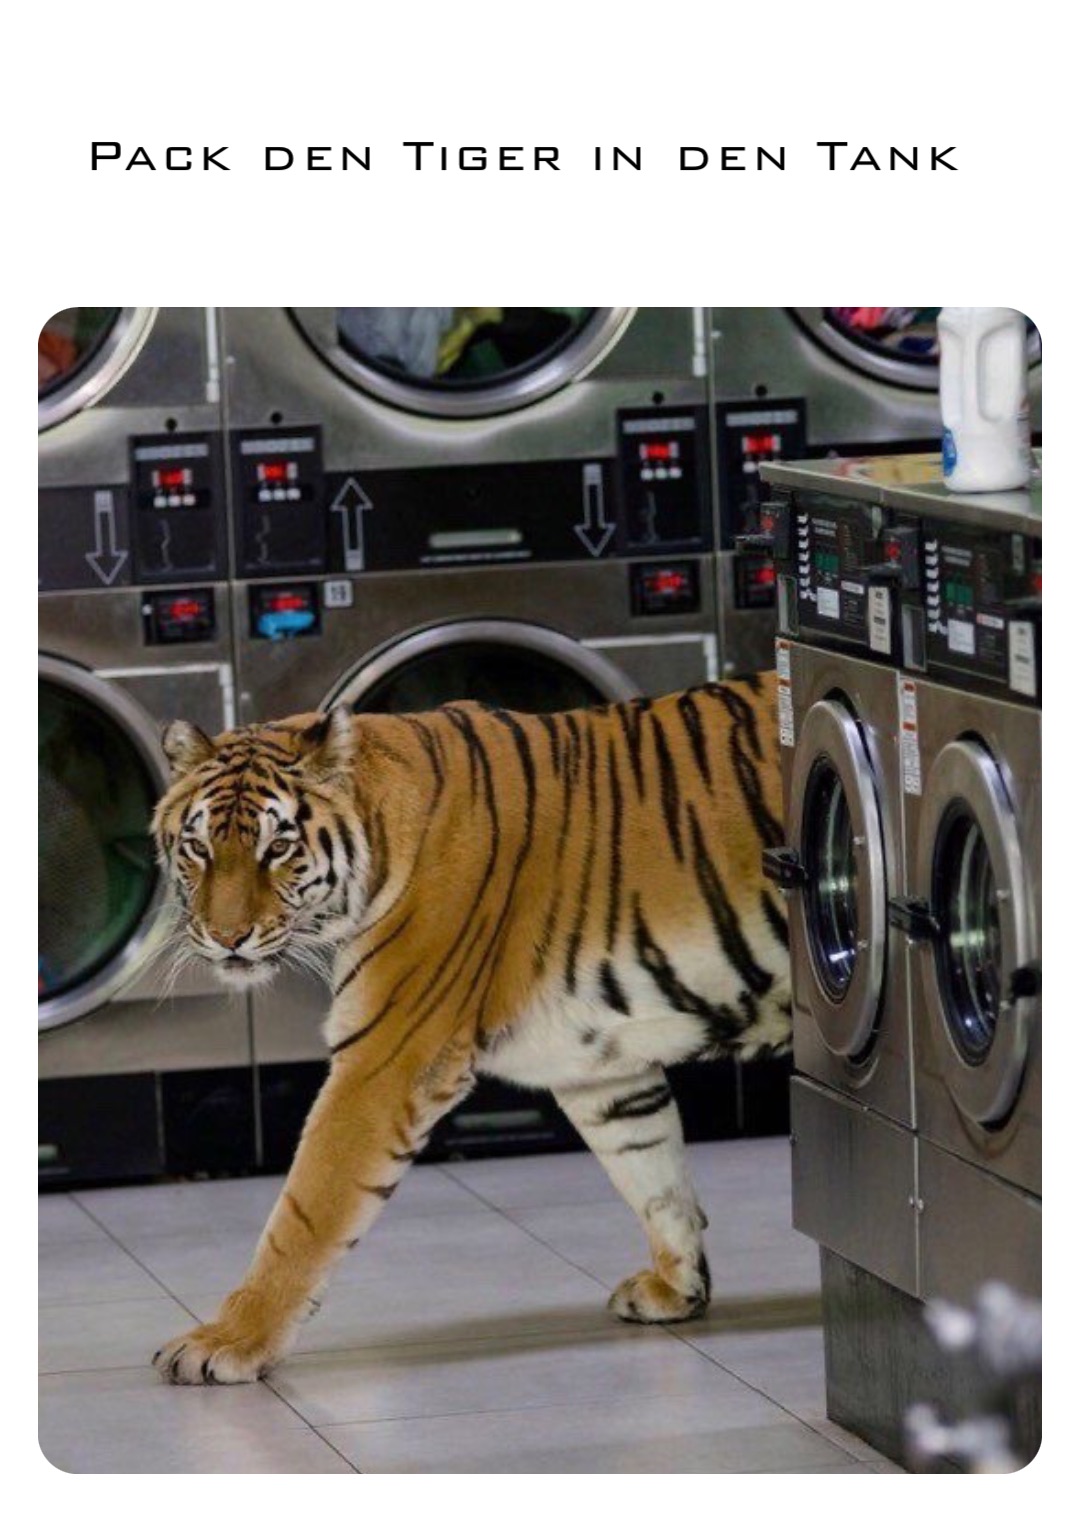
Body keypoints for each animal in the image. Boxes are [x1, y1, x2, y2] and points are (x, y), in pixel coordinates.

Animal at [149, 675, 791, 1384]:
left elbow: (305, 1210)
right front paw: (678, 1289)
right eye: (199, 848)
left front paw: (229, 1341)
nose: (226, 937)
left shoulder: (386, 1059)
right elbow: (651, 1171)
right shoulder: (599, 1064)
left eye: (279, 848)